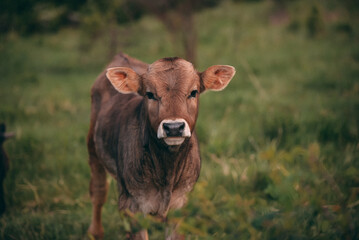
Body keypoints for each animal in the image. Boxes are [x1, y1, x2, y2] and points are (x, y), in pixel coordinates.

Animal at [86, 53, 235, 239]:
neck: (166, 173)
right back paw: (95, 232)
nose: (174, 127)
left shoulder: (180, 205)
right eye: (150, 94)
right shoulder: (133, 206)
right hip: (92, 147)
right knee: (98, 192)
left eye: (193, 92)